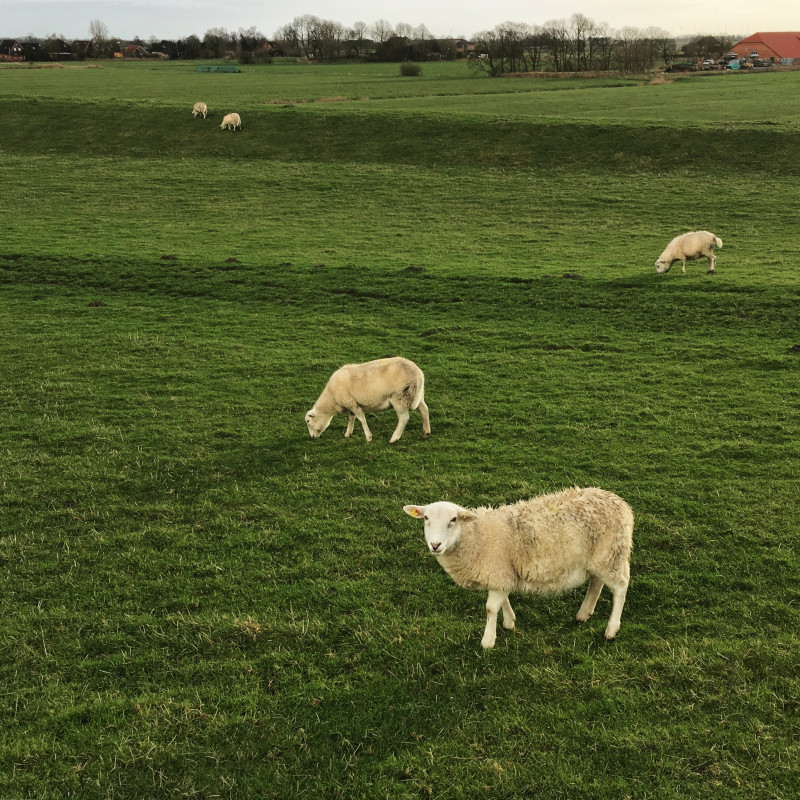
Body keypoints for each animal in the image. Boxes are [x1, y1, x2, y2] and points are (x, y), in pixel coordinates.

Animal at [404, 484, 636, 648]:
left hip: (612, 554)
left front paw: (488, 641)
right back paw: (583, 614)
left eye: (453, 519)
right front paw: (509, 622)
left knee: (620, 588)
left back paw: (611, 630)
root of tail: (620, 502)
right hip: (598, 558)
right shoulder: (502, 573)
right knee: (596, 582)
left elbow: (490, 608)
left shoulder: (498, 572)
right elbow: (503, 600)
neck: (476, 537)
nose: (435, 545)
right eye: (426, 518)